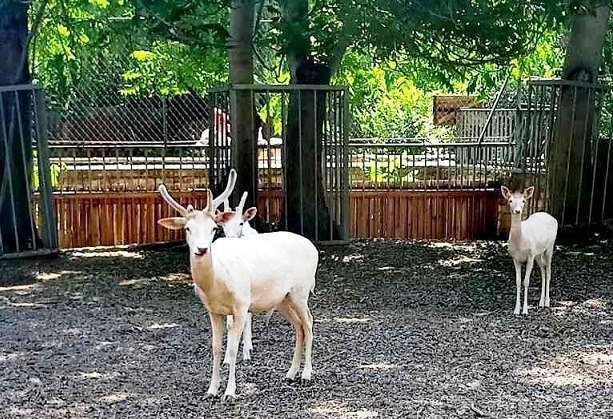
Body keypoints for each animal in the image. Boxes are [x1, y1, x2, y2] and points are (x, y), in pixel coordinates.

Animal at [155, 179, 318, 398]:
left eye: (213, 228)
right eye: (188, 228)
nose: (201, 249)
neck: (217, 282)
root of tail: (313, 248)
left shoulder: (241, 305)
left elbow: (232, 348)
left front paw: (230, 392)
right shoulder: (213, 311)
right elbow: (216, 347)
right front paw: (212, 389)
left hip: (301, 291)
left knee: (308, 322)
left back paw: (306, 374)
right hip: (283, 299)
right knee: (298, 325)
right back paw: (290, 373)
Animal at [500, 186, 556, 316]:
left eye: (523, 201)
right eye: (510, 200)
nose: (517, 210)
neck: (520, 243)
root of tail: (552, 217)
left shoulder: (530, 256)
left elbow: (526, 282)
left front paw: (525, 310)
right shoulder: (515, 258)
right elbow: (518, 281)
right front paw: (516, 310)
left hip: (549, 248)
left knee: (549, 271)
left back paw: (547, 302)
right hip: (538, 254)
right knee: (543, 270)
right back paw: (540, 302)